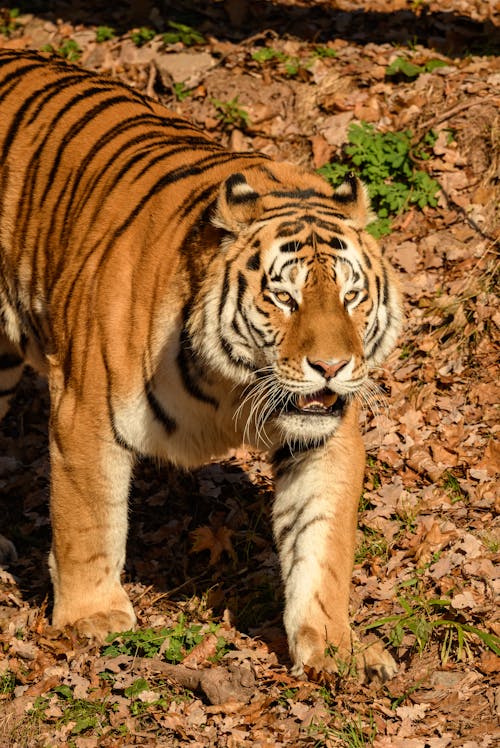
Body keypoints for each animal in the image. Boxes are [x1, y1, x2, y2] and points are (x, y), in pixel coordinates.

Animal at [0, 49, 400, 684]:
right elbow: (88, 520)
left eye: (351, 296)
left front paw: (333, 648)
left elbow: (321, 545)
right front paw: (93, 618)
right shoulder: (84, 414)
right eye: (284, 298)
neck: (232, 386)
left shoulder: (325, 439)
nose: (332, 365)